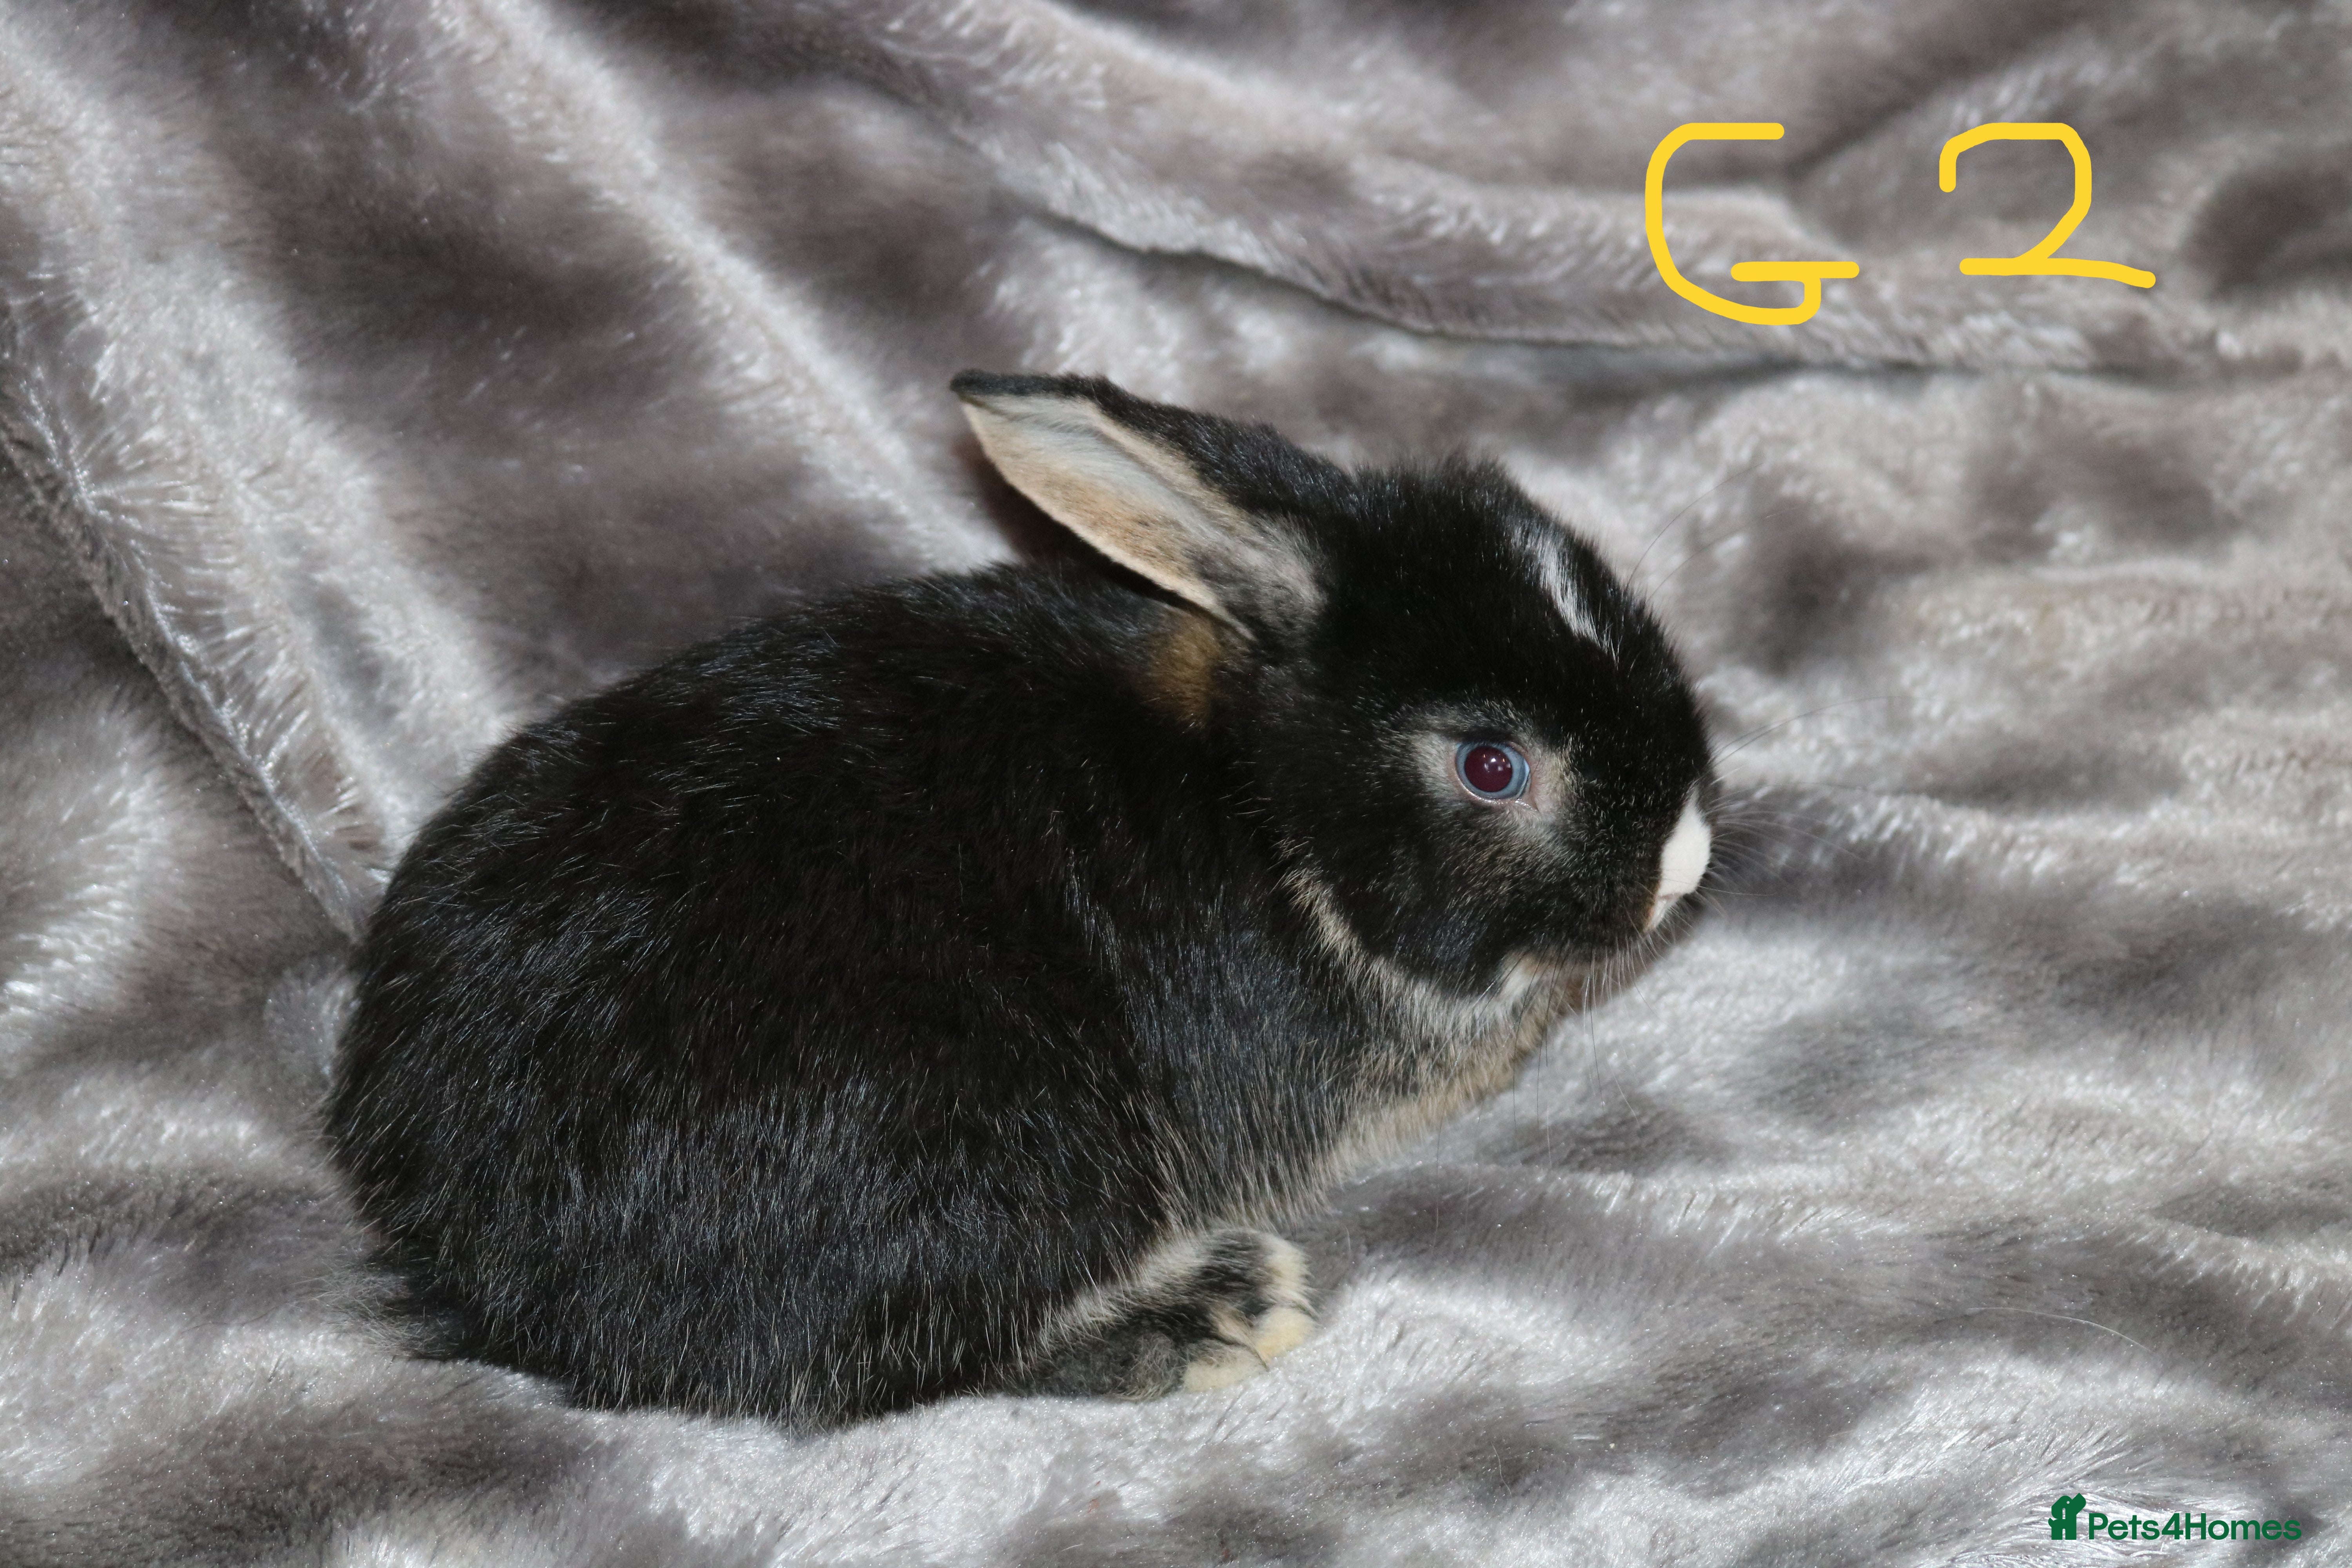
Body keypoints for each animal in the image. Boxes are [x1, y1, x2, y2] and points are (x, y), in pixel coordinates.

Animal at [324, 371, 1717, 1427]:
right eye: (1491, 766)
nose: (1690, 857)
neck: (1272, 809)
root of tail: (476, 1253)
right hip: (1001, 1158)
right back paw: (1218, 1311)